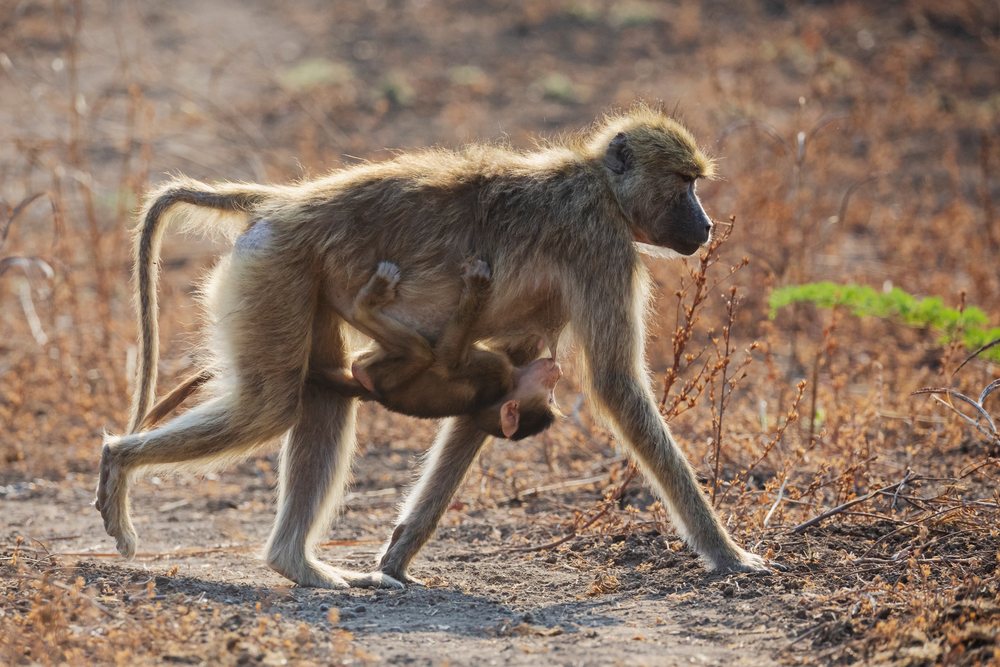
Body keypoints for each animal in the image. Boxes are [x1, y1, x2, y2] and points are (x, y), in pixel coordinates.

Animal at [96, 104, 770, 590]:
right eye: (684, 183)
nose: (705, 226)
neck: (599, 185)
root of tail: (280, 202)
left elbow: (499, 388)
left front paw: (396, 557)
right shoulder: (601, 248)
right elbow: (615, 385)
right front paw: (729, 555)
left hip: (297, 277)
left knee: (319, 396)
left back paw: (298, 565)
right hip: (276, 269)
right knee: (271, 406)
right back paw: (119, 462)